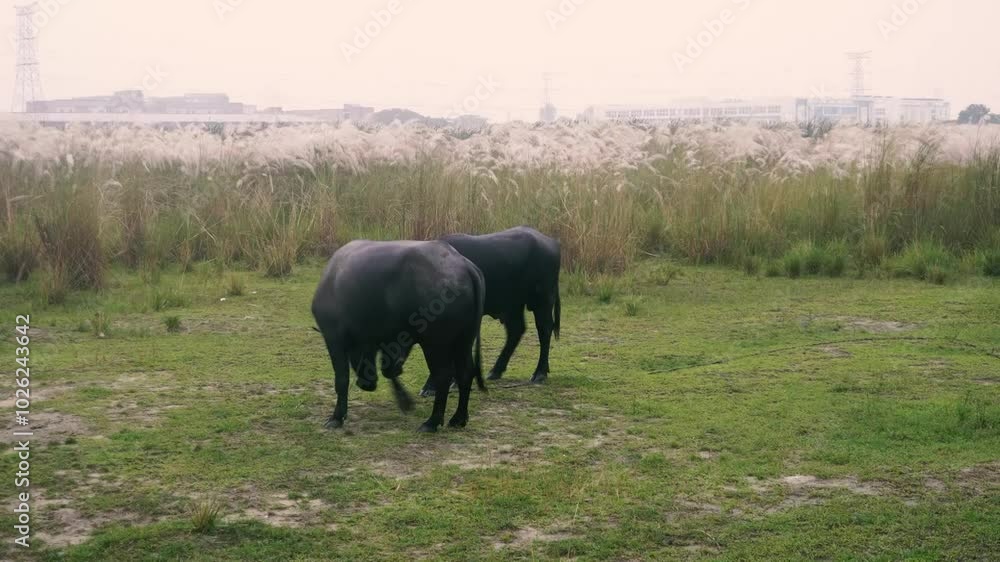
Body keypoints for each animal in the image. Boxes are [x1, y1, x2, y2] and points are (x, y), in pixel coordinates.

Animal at [311, 240, 486, 432]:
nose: (366, 384)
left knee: (443, 375)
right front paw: (405, 401)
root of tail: (463, 265)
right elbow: (389, 369)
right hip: (464, 340)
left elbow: (342, 379)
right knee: (465, 372)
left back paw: (431, 422)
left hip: (435, 343)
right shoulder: (388, 339)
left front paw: (336, 417)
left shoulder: (333, 338)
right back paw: (458, 418)